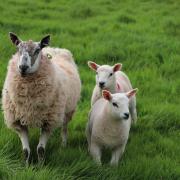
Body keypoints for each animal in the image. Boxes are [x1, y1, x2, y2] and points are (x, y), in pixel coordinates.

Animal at [1, 32, 81, 163]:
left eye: (37, 50)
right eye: (18, 49)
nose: (23, 67)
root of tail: (54, 49)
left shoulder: (49, 122)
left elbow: (40, 149)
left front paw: (41, 165)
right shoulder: (18, 122)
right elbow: (26, 151)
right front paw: (26, 165)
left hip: (67, 110)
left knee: (64, 128)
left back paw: (64, 145)